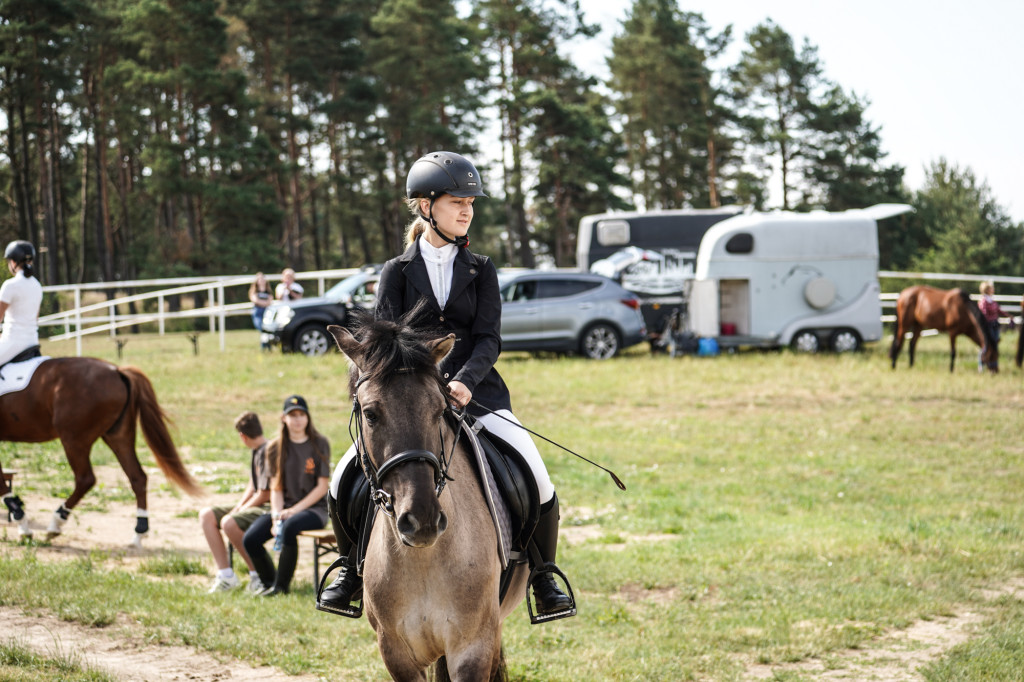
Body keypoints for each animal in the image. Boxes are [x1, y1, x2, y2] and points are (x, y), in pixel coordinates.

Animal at [0, 356, 201, 540]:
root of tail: (117, 370)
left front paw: (21, 522)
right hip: (118, 436)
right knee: (137, 477)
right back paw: (139, 531)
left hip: (74, 439)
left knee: (86, 479)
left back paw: (56, 522)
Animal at [331, 319, 528, 679]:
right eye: (370, 414)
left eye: (439, 411)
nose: (422, 521)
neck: (424, 559)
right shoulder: (395, 651)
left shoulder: (473, 648)